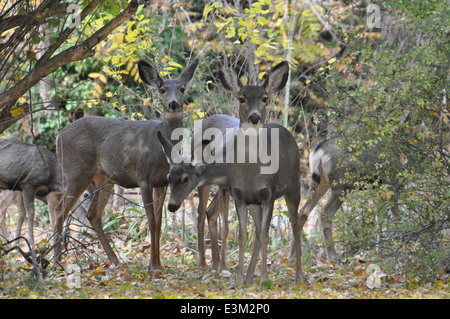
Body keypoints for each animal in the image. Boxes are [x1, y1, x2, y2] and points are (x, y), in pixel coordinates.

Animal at [55, 58, 199, 270]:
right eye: (162, 89)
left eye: (182, 88)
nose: (173, 103)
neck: (161, 148)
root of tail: (59, 137)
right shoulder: (144, 177)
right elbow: (151, 220)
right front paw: (152, 265)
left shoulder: (162, 182)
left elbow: (159, 222)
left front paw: (158, 264)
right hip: (76, 172)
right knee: (60, 211)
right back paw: (56, 261)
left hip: (104, 179)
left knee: (93, 214)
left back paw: (115, 260)